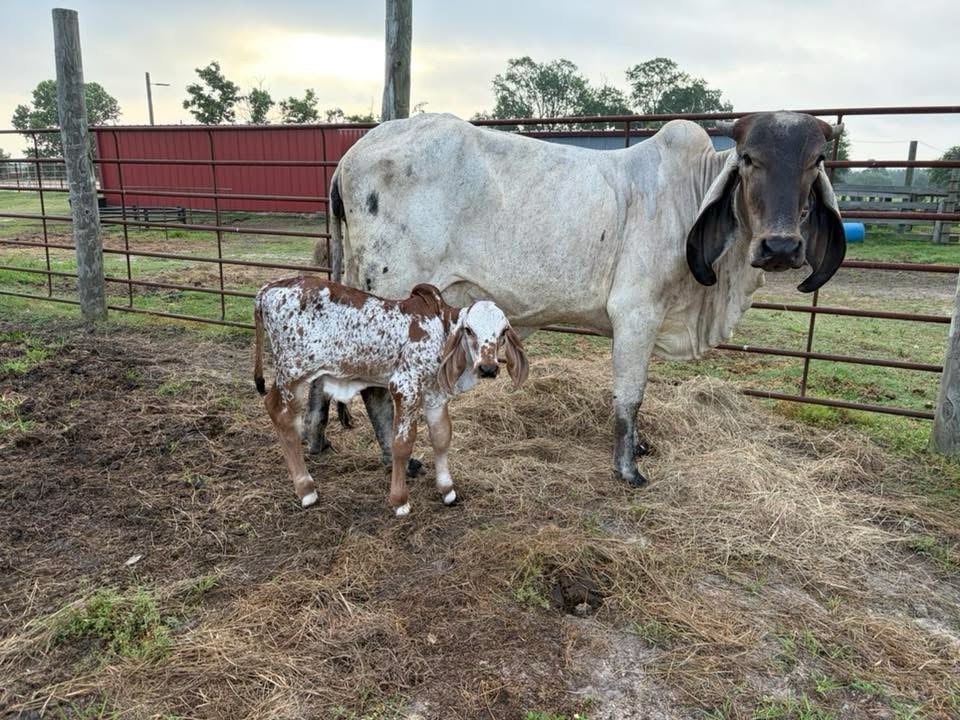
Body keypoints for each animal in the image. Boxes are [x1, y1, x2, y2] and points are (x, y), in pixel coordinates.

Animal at [253, 277, 528, 515]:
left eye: (503, 332)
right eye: (469, 330)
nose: (488, 368)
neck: (440, 327)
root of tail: (268, 288)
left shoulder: (436, 395)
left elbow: (441, 437)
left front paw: (447, 490)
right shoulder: (405, 387)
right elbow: (401, 444)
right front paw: (400, 501)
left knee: (273, 407)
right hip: (294, 374)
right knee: (283, 416)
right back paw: (306, 489)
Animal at [310, 111, 845, 488]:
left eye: (816, 160)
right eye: (750, 158)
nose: (781, 247)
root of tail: (351, 156)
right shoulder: (635, 315)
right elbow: (630, 397)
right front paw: (627, 469)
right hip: (391, 292)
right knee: (379, 389)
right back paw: (397, 459)